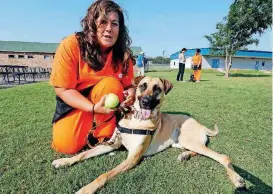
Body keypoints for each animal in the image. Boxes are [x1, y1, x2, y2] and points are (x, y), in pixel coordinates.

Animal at [52, 76, 245, 194]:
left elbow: (104, 175)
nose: (145, 102)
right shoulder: (112, 144)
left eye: (157, 89)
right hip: (181, 142)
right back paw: (184, 155)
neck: (136, 120)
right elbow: (83, 154)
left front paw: (87, 189)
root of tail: (199, 124)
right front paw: (64, 161)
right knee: (199, 150)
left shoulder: (132, 158)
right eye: (142, 86)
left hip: (187, 138)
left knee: (223, 157)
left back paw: (237, 179)